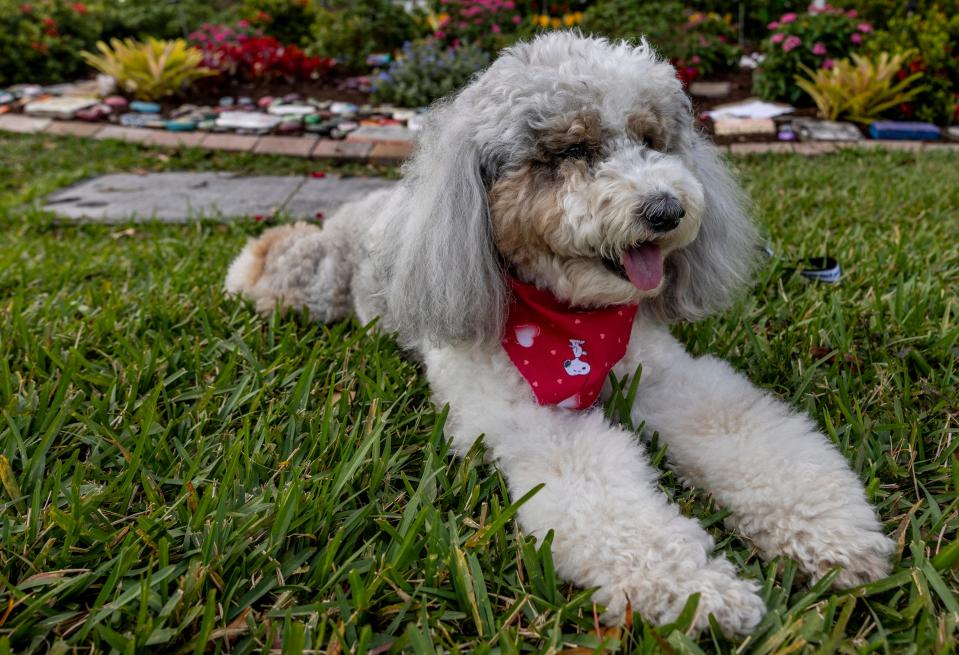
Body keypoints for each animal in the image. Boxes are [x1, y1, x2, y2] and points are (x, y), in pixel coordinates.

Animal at [225, 33, 892, 640]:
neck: (570, 319)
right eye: (574, 148)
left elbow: (741, 433)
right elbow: (610, 500)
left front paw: (828, 534)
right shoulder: (540, 424)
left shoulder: (670, 378)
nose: (667, 210)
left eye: (651, 141)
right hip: (318, 281)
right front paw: (699, 594)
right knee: (281, 256)